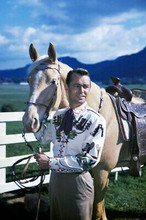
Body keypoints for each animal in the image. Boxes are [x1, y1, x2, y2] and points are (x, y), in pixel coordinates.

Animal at [22, 42, 145, 220]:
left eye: (53, 81)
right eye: (28, 80)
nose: (29, 121)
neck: (104, 116)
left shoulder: (102, 173)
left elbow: (98, 209)